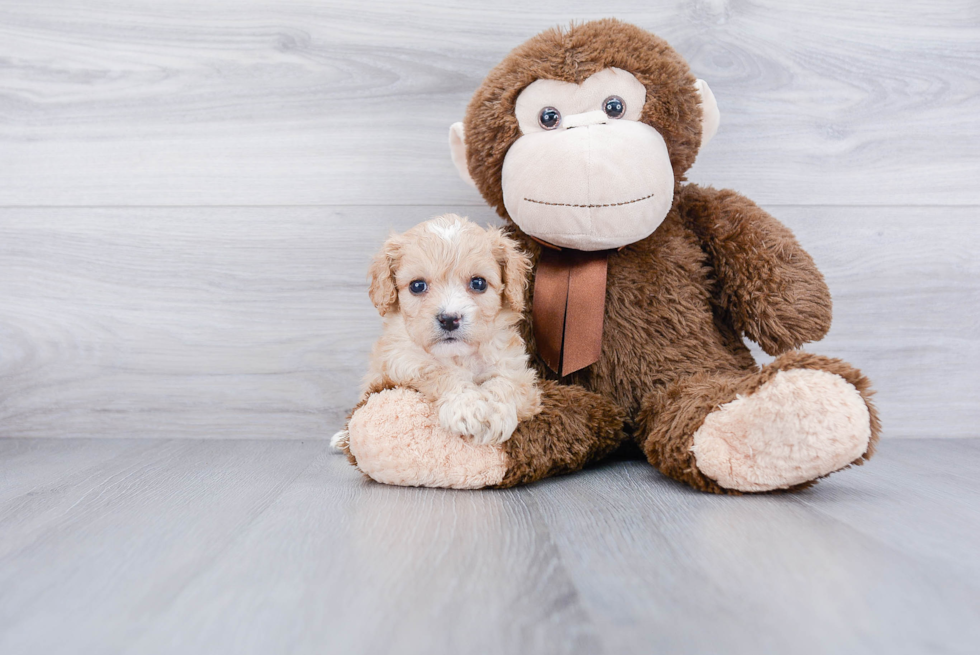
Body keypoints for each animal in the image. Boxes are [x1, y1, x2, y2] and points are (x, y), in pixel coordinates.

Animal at [338, 214, 536, 446]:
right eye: (417, 286)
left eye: (479, 283)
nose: (449, 319)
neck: (459, 356)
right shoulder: (402, 363)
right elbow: (439, 372)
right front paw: (467, 407)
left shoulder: (516, 367)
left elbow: (506, 382)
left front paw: (495, 412)